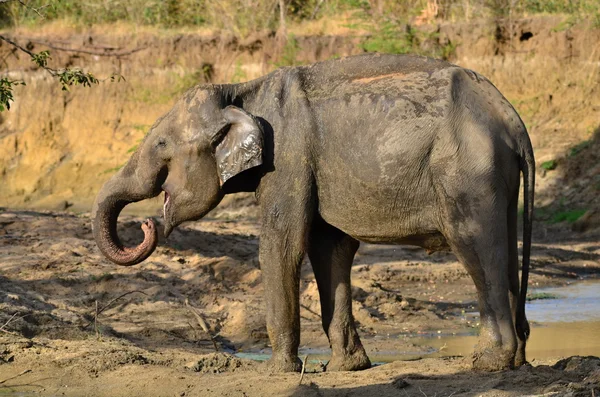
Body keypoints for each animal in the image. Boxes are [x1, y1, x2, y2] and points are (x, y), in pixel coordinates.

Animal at [92, 52, 536, 372]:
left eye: (162, 145)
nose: (147, 223)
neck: (241, 91)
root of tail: (513, 120)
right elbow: (330, 248)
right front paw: (345, 368)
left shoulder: (287, 157)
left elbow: (283, 244)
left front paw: (277, 373)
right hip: (495, 175)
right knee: (503, 245)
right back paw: (516, 361)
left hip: (466, 171)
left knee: (475, 247)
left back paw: (488, 364)